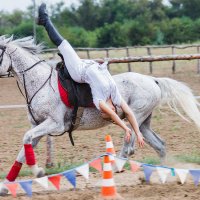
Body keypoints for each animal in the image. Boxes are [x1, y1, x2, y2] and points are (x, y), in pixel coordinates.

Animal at [0, 35, 200, 195]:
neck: (40, 83)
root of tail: (153, 79)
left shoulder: (54, 124)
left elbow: (26, 141)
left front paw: (38, 172)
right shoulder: (38, 126)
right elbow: (23, 151)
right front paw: (6, 186)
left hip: (135, 117)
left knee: (128, 148)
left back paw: (114, 170)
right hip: (143, 123)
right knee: (160, 146)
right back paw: (162, 177)